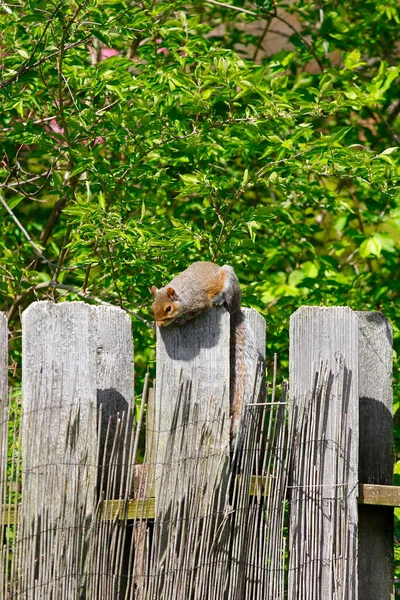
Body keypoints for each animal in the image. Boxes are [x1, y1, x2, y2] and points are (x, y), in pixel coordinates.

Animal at [150, 258, 262, 440]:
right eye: (152, 308)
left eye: (168, 308)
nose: (159, 324)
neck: (182, 295)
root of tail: (236, 308)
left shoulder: (200, 302)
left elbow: (195, 312)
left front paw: (182, 320)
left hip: (229, 281)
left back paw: (220, 299)